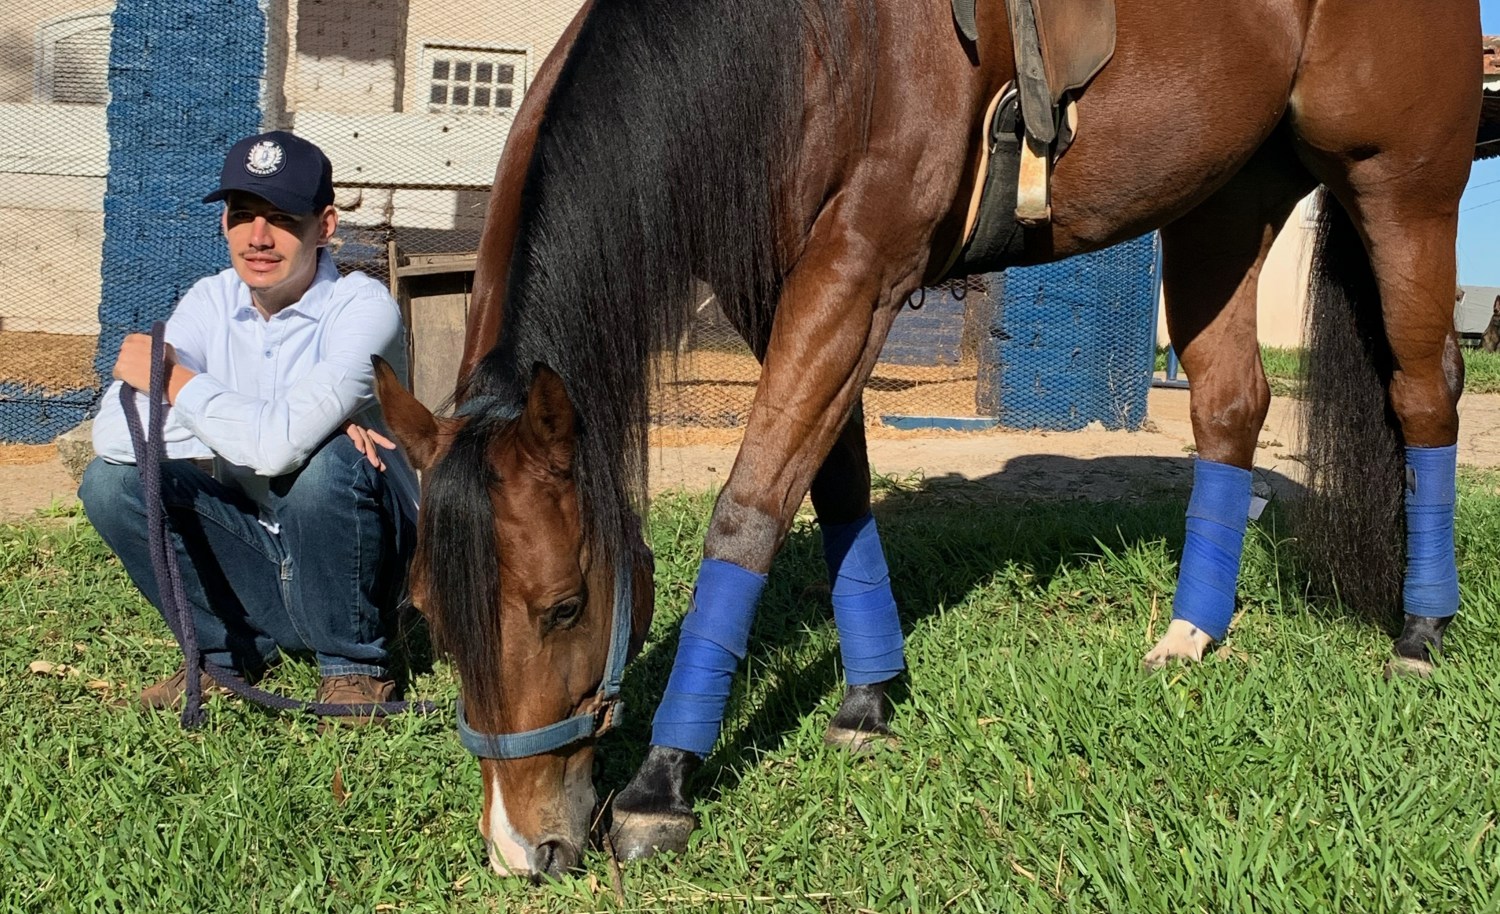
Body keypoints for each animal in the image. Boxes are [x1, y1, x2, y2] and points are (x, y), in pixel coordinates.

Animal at [372, 0, 1476, 882]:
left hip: (1400, 186)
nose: (523, 846)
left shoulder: (859, 267)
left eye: (563, 606)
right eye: (424, 609)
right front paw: (868, 698)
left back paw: (1422, 633)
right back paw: (1191, 630)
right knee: (1232, 404)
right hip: (1223, 198)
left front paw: (662, 780)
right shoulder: (790, 288)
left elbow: (751, 506)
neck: (813, 47)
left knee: (1427, 394)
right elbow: (834, 487)